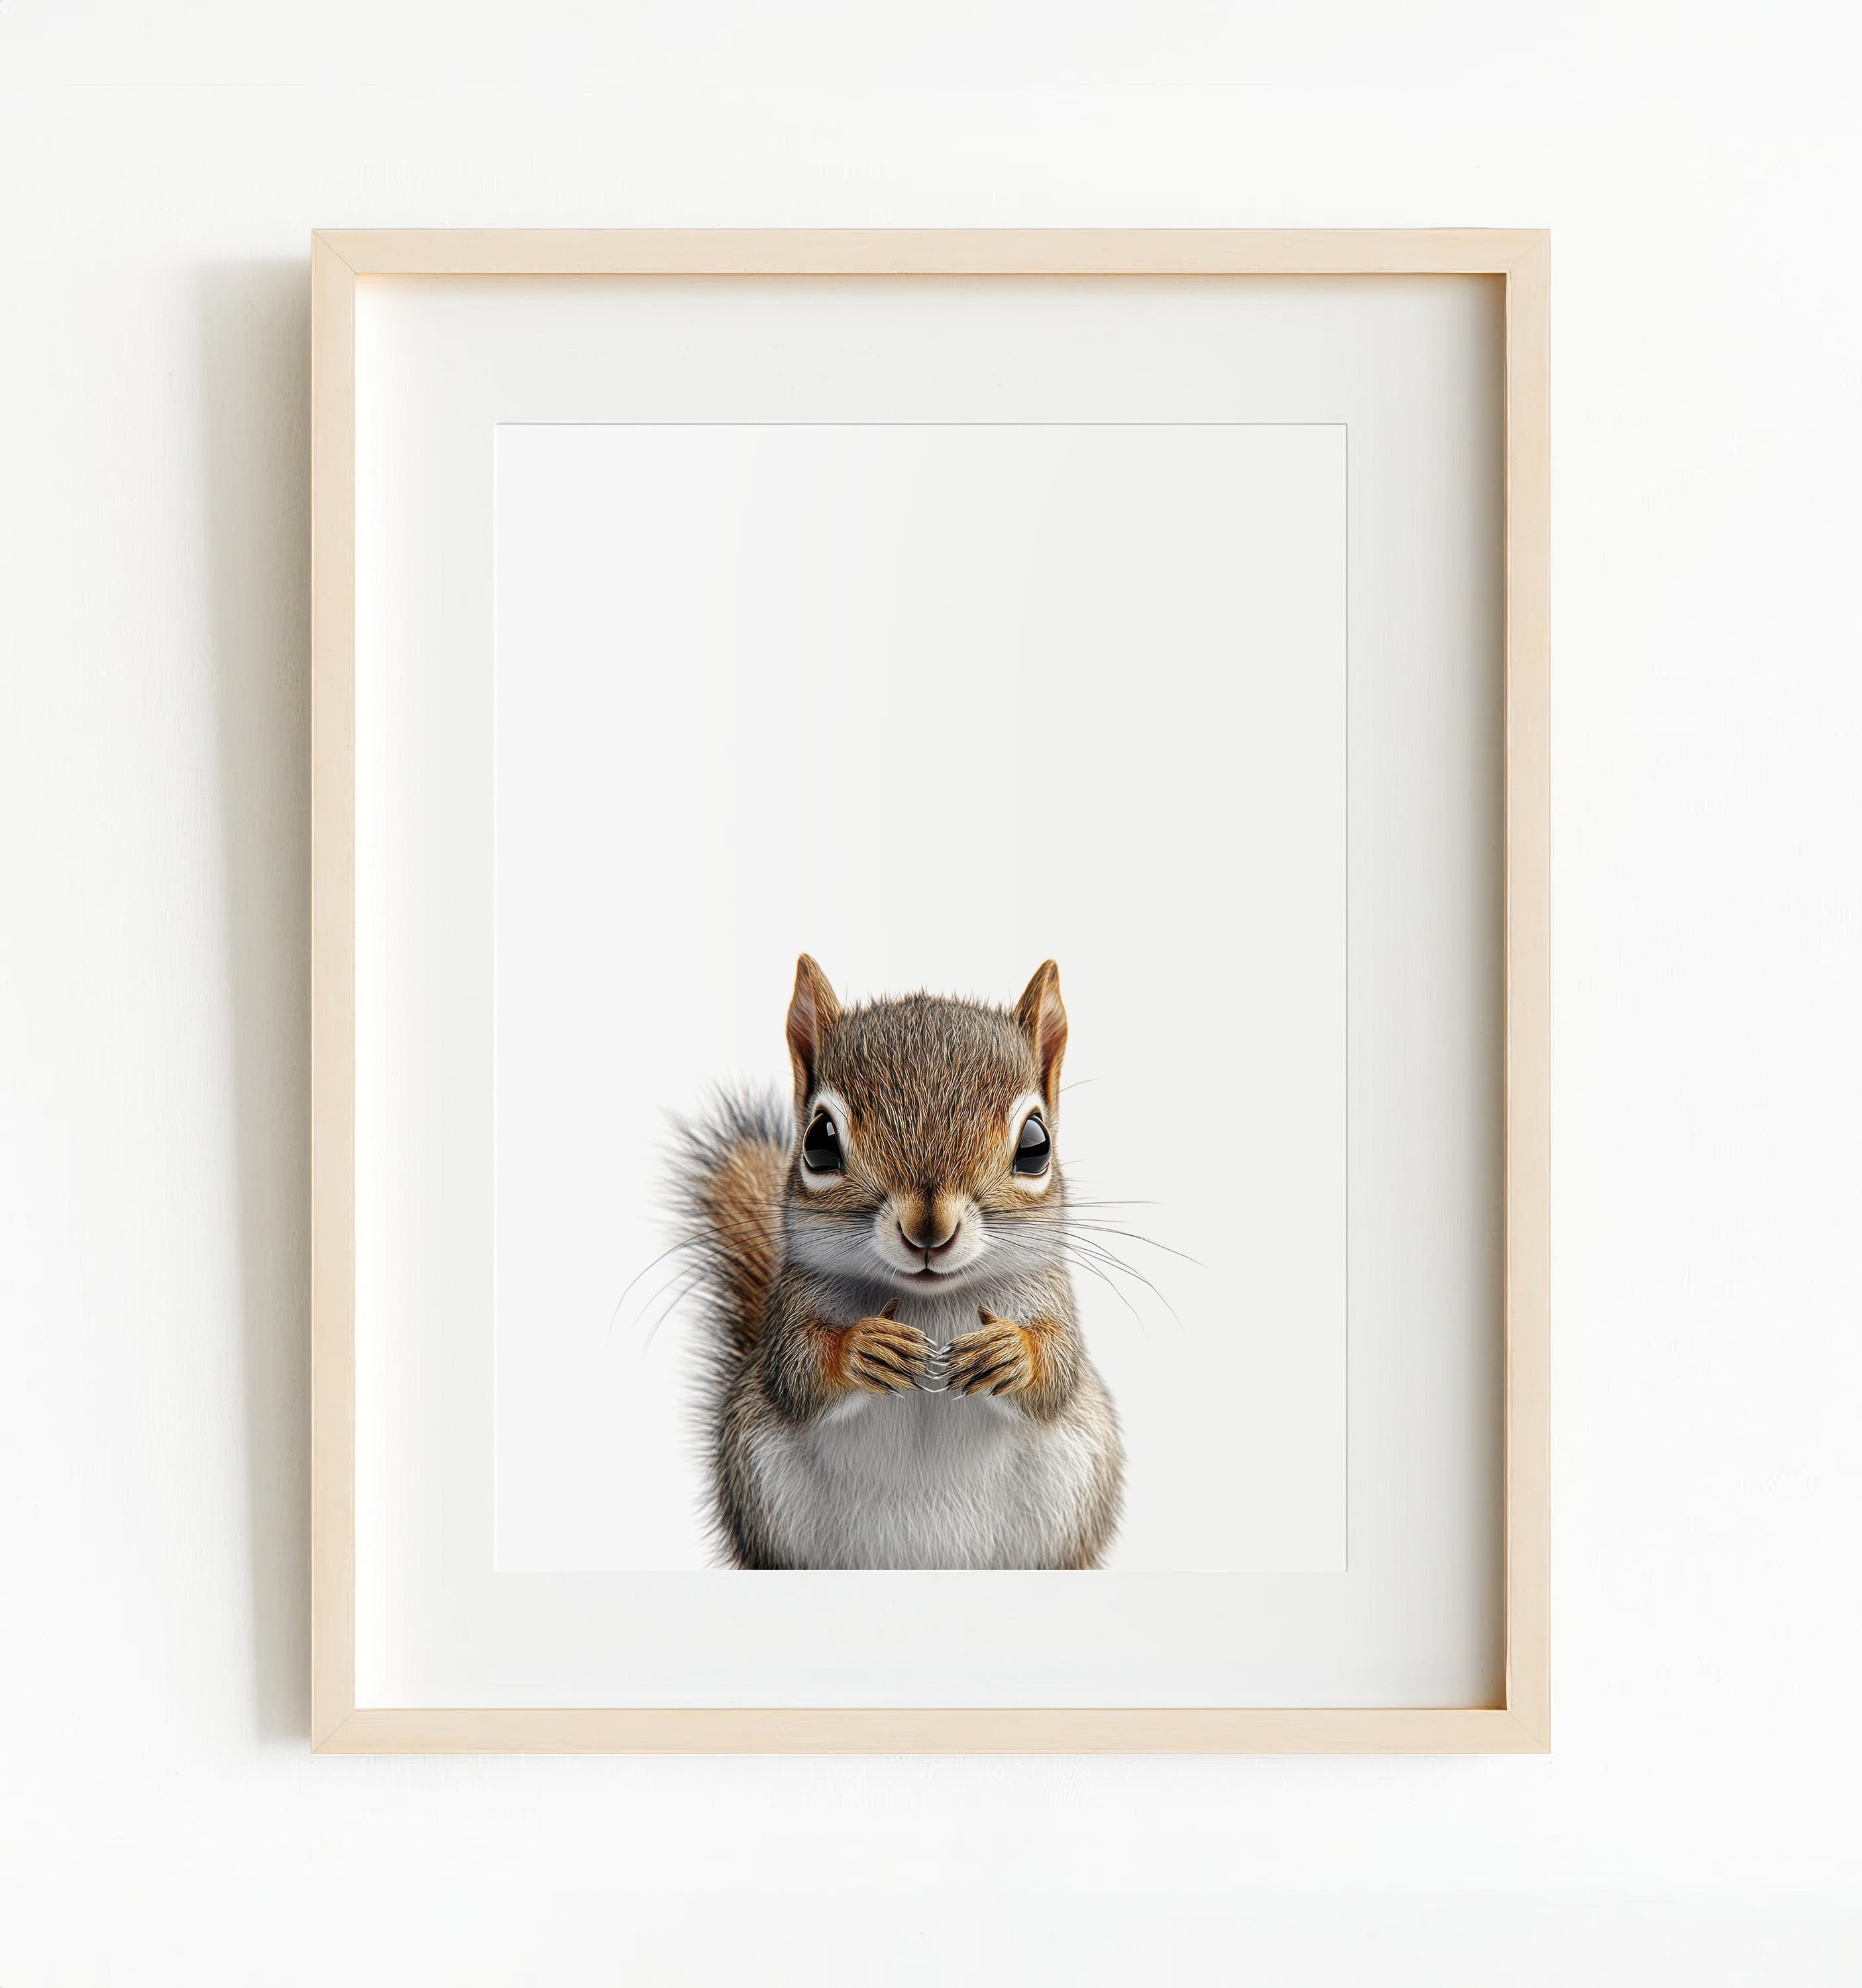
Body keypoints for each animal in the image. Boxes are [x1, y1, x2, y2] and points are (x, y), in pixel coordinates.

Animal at [670, 955, 1123, 1570]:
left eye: (1036, 1144)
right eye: (818, 1141)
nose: (929, 1230)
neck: (927, 1299)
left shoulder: (1053, 1297)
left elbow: (1058, 1367)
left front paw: (1010, 1351)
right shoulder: (789, 1310)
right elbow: (798, 1371)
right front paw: (863, 1346)